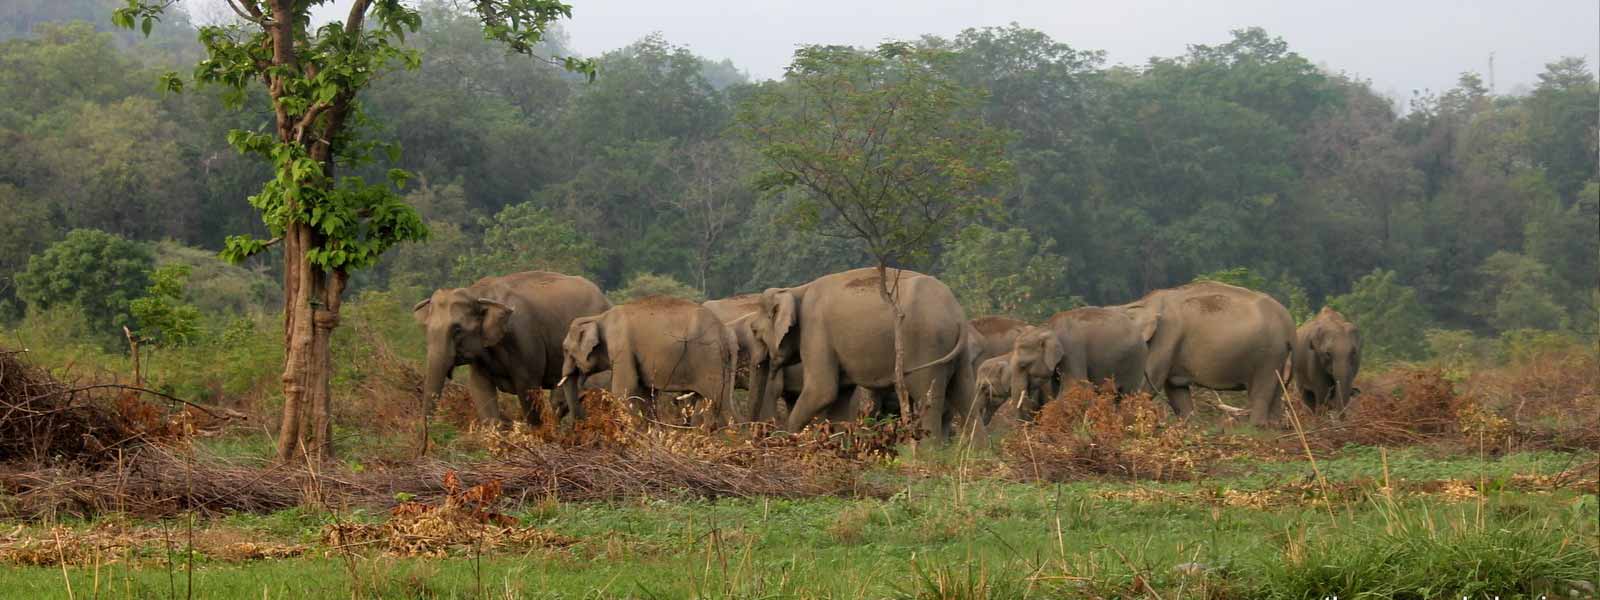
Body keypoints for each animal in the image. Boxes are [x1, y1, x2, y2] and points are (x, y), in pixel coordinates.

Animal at [412, 272, 611, 428]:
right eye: (426, 328)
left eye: (457, 329)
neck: (477, 294)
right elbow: (479, 388)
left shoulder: (524, 338)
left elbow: (528, 388)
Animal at [560, 296, 739, 428]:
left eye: (566, 350)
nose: (579, 425)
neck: (598, 317)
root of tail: (725, 332)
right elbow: (644, 393)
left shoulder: (622, 347)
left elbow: (625, 388)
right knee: (708, 402)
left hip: (710, 359)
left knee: (720, 401)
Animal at [752, 268, 972, 441]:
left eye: (754, 332)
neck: (795, 289)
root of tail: (958, 314)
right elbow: (839, 397)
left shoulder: (815, 331)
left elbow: (822, 391)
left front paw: (786, 439)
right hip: (956, 352)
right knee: (965, 396)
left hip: (926, 345)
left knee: (927, 396)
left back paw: (928, 454)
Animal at [1011, 307, 1152, 416]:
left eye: (1023, 365)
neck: (1047, 327)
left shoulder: (1072, 350)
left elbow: (1075, 385)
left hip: (1135, 362)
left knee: (1127, 395)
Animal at [1120, 281, 1292, 428]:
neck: (1143, 303)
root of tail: (1287, 320)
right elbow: (1176, 390)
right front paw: (1188, 425)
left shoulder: (1166, 336)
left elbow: (1150, 381)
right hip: (1279, 356)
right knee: (1277, 391)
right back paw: (1273, 427)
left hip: (1269, 355)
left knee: (1262, 390)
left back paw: (1256, 427)